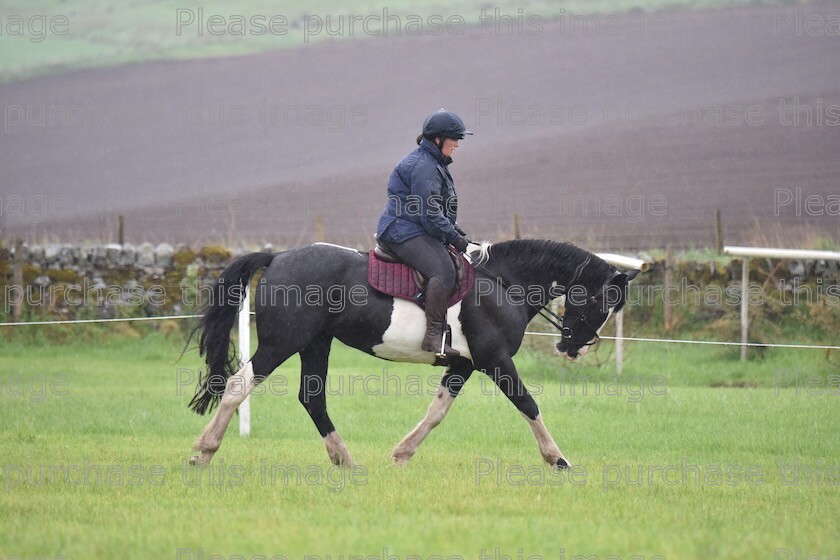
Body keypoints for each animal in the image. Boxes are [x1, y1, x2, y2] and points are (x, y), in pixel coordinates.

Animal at [187, 240, 640, 468]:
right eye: (604, 303)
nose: (573, 348)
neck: (503, 283)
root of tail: (278, 257)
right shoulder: (494, 361)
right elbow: (528, 404)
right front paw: (556, 458)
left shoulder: (464, 365)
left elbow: (437, 411)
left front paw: (402, 454)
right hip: (283, 343)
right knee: (239, 385)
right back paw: (204, 450)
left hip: (316, 344)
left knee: (312, 399)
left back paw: (345, 460)